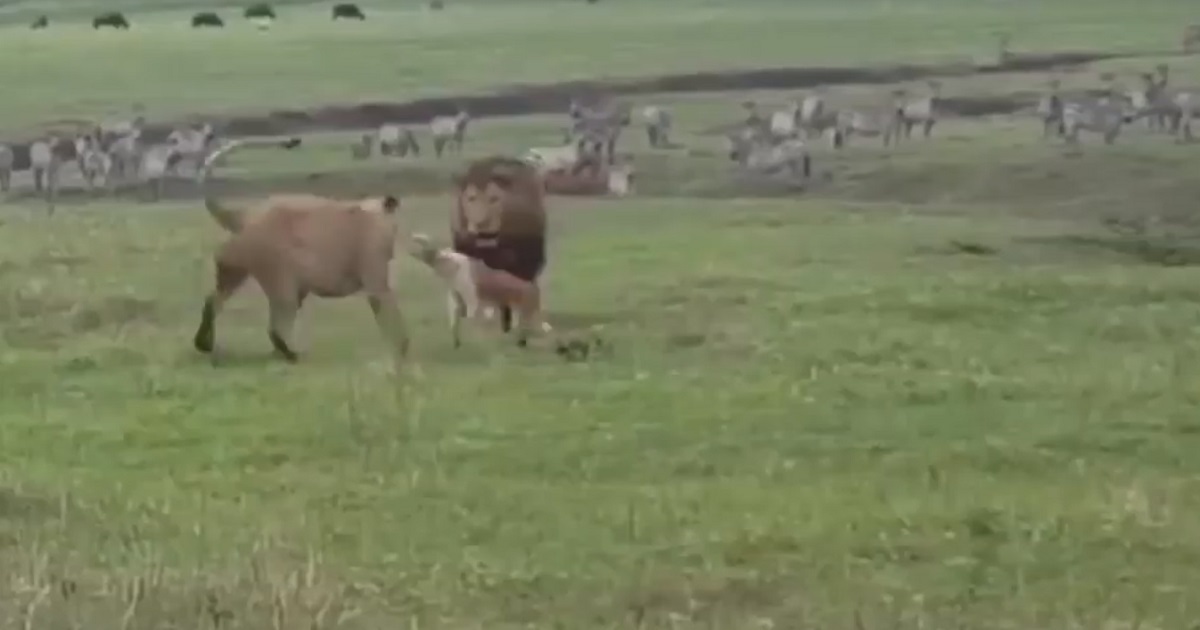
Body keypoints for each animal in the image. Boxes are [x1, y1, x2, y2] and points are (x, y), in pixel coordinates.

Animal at [190, 137, 408, 362]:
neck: (374, 211)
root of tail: (245, 215)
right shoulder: (373, 261)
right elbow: (384, 305)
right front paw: (401, 351)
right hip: (277, 270)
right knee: (275, 326)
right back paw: (292, 355)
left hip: (236, 264)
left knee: (214, 300)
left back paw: (206, 344)